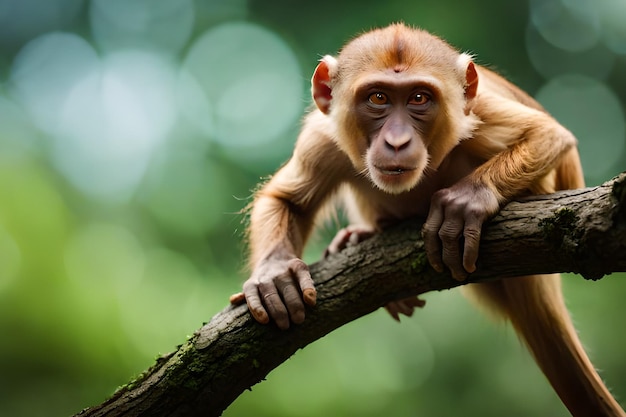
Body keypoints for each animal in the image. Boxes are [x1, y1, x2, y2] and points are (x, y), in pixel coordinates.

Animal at [229, 23, 624, 416]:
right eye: (378, 98)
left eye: (419, 99)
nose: (397, 141)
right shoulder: (324, 136)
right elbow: (287, 200)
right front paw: (276, 273)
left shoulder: (476, 108)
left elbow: (548, 134)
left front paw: (468, 200)